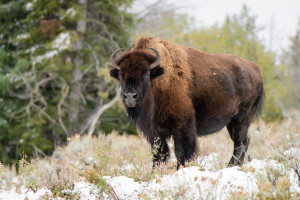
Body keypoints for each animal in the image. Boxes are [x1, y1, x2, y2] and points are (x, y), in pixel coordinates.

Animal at [109, 36, 264, 170]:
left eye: (146, 73)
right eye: (121, 74)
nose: (130, 96)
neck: (159, 79)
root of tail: (256, 69)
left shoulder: (182, 125)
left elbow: (181, 152)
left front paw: (180, 170)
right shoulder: (154, 131)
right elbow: (158, 154)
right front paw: (154, 172)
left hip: (242, 118)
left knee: (239, 143)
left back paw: (230, 166)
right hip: (231, 122)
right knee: (244, 141)